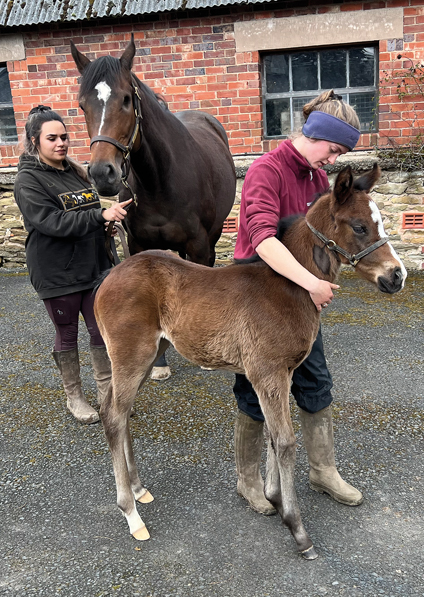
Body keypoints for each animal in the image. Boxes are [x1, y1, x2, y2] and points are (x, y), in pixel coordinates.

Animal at [94, 164, 406, 560]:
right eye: (360, 226)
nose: (397, 276)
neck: (290, 285)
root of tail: (111, 275)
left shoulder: (281, 373)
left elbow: (272, 437)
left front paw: (274, 498)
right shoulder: (267, 372)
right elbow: (285, 441)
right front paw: (297, 529)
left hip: (147, 357)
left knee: (118, 414)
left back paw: (138, 490)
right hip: (131, 356)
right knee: (113, 415)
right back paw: (132, 514)